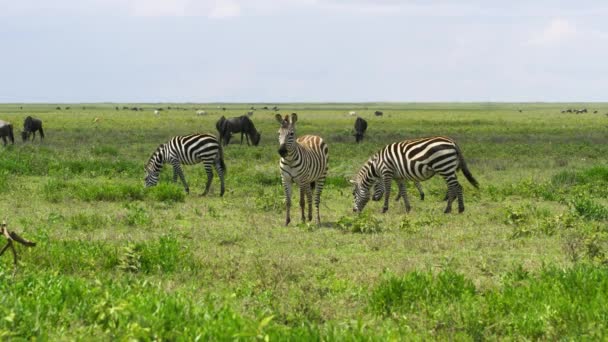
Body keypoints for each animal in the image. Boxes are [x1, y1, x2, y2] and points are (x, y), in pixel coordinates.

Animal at [352, 136, 480, 214]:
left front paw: (384, 209)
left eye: (353, 194)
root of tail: (453, 142)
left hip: (444, 166)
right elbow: (403, 191)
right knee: (454, 187)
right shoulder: (399, 177)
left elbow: (388, 191)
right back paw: (452, 208)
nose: (354, 211)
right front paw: (408, 208)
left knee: (456, 186)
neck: (376, 165)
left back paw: (455, 209)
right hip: (448, 168)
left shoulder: (387, 172)